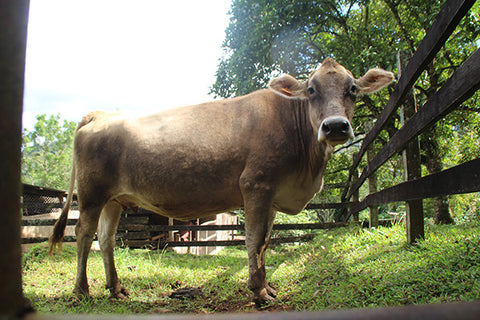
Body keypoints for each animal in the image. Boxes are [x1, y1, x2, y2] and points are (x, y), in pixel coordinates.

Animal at [48, 58, 394, 304]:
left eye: (353, 89)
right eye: (311, 90)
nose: (335, 126)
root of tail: (101, 114)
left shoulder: (272, 196)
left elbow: (265, 242)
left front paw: (267, 286)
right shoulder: (255, 185)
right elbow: (253, 240)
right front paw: (259, 292)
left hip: (114, 199)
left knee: (106, 239)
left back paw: (116, 288)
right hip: (91, 195)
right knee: (83, 234)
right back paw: (82, 290)